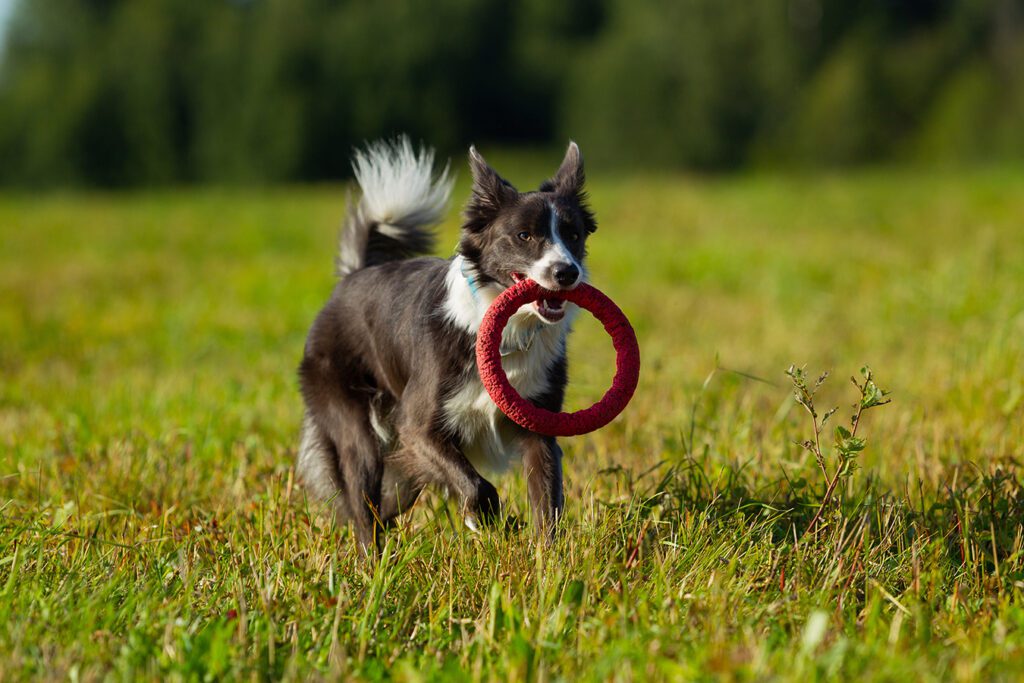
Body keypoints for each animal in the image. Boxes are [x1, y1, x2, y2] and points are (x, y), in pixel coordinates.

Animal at [296, 136, 598, 552]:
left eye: (573, 235)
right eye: (524, 235)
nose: (566, 272)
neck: (506, 333)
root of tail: (352, 277)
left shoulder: (539, 424)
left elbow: (545, 497)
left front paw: (545, 559)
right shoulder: (417, 425)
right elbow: (476, 484)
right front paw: (483, 518)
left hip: (402, 467)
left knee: (384, 505)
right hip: (357, 427)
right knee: (362, 506)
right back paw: (370, 561)